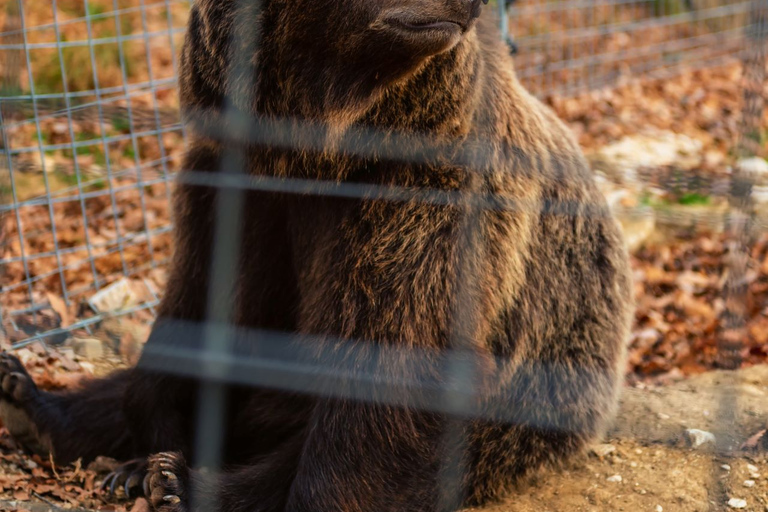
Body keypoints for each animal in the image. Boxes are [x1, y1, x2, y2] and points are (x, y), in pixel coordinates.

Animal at [0, 0, 632, 510]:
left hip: (534, 396)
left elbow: (388, 367)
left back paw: (176, 481)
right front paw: (139, 433)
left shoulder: (429, 201)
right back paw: (33, 400)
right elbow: (199, 304)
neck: (322, 142)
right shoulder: (233, 187)